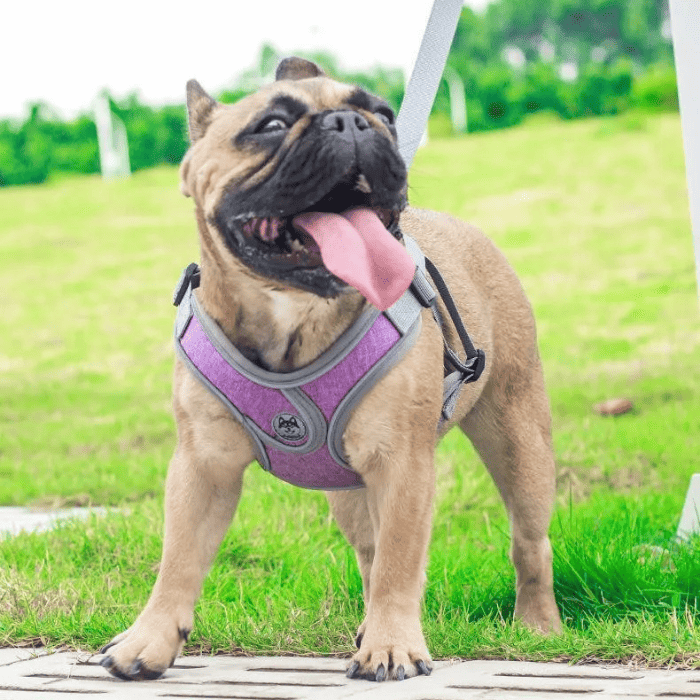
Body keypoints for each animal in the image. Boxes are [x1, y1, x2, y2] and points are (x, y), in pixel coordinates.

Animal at [98, 56, 560, 684]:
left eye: (383, 113)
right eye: (270, 125)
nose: (353, 122)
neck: (294, 309)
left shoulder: (403, 465)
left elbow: (400, 562)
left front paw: (393, 646)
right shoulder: (202, 466)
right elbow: (178, 559)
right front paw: (147, 640)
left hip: (518, 439)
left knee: (527, 541)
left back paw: (537, 625)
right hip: (346, 488)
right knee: (369, 553)